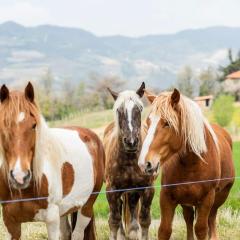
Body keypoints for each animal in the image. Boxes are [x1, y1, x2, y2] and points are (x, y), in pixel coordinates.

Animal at [0, 83, 105, 240]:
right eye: (3, 126)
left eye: (34, 125)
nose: (20, 177)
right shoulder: (10, 222)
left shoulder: (51, 219)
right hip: (65, 209)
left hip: (86, 207)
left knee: (77, 233)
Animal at [104, 82, 156, 240]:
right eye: (119, 110)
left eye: (139, 109)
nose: (131, 142)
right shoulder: (112, 190)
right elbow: (113, 221)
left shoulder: (147, 189)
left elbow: (144, 220)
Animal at [139, 88, 234, 240]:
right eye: (148, 122)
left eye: (167, 123)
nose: (145, 164)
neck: (192, 164)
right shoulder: (167, 197)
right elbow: (164, 230)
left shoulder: (207, 198)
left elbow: (201, 229)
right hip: (186, 201)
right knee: (189, 218)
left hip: (219, 197)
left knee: (212, 219)